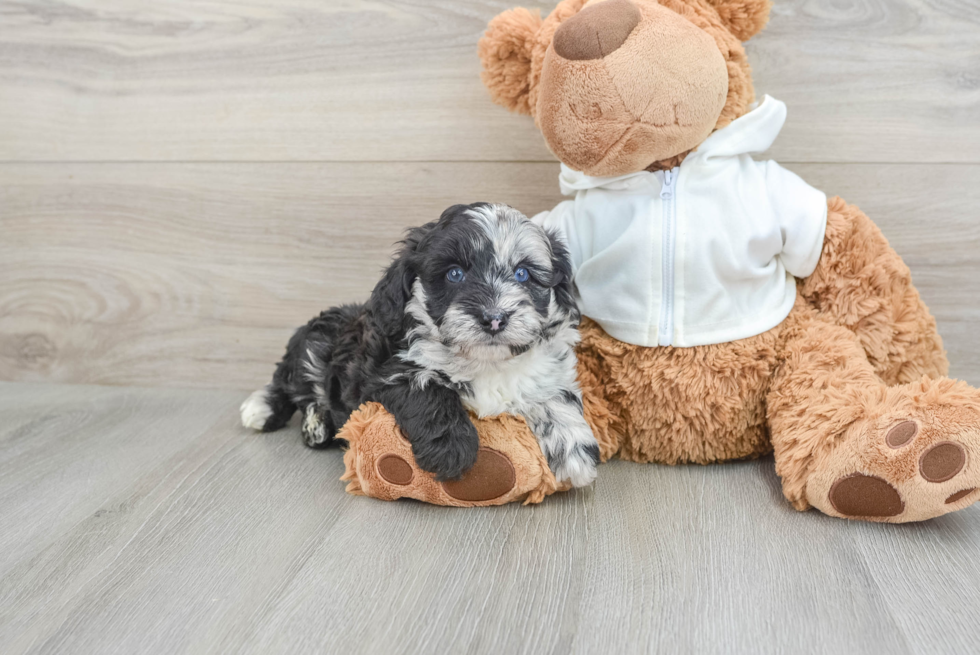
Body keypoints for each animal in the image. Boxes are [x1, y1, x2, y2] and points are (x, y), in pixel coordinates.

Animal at [241, 204, 600, 486]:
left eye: (523, 274)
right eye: (454, 274)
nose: (494, 318)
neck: (484, 360)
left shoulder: (549, 372)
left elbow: (558, 399)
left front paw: (576, 452)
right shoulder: (387, 373)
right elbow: (429, 391)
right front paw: (451, 449)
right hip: (315, 344)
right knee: (288, 381)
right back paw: (267, 410)